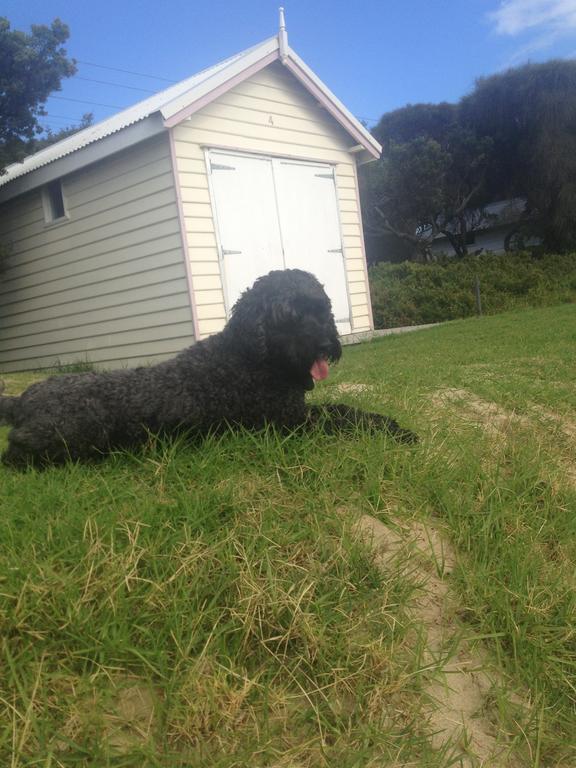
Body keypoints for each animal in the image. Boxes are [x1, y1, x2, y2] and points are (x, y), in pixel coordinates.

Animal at [0, 270, 416, 464]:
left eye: (321, 308)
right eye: (289, 315)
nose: (327, 344)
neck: (248, 357)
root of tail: (21, 400)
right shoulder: (292, 422)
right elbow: (347, 414)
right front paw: (396, 430)